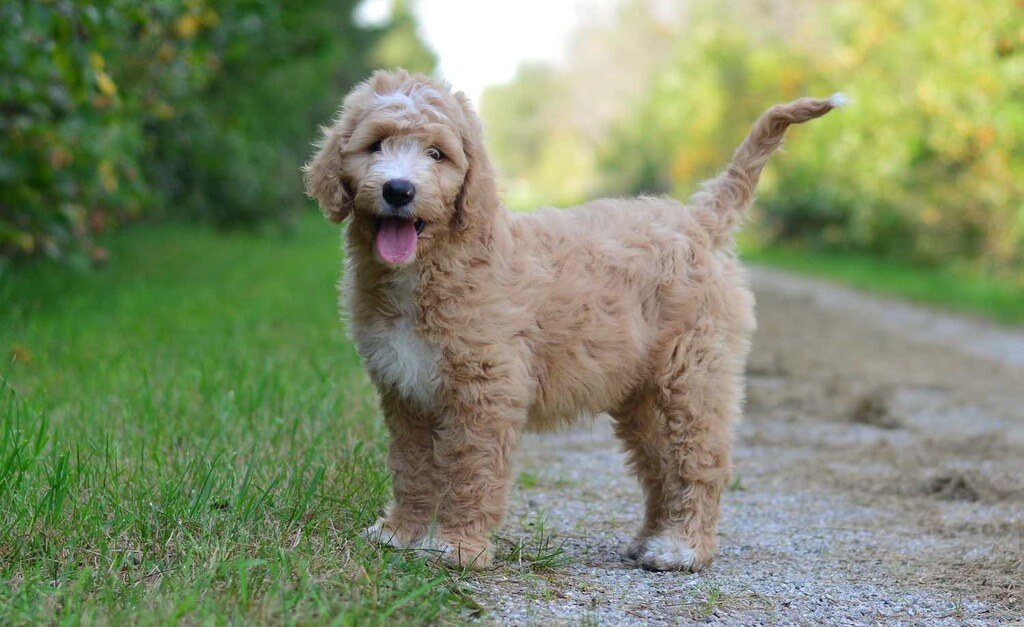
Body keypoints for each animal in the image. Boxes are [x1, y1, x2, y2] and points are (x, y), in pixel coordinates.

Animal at [301, 71, 839, 569]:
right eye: (375, 144)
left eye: (437, 154)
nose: (398, 190)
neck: (431, 266)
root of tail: (699, 221)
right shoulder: (403, 390)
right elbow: (411, 467)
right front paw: (400, 533)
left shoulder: (485, 391)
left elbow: (472, 470)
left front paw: (458, 548)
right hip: (642, 396)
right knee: (660, 467)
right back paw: (651, 540)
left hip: (693, 378)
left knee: (699, 463)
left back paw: (683, 548)